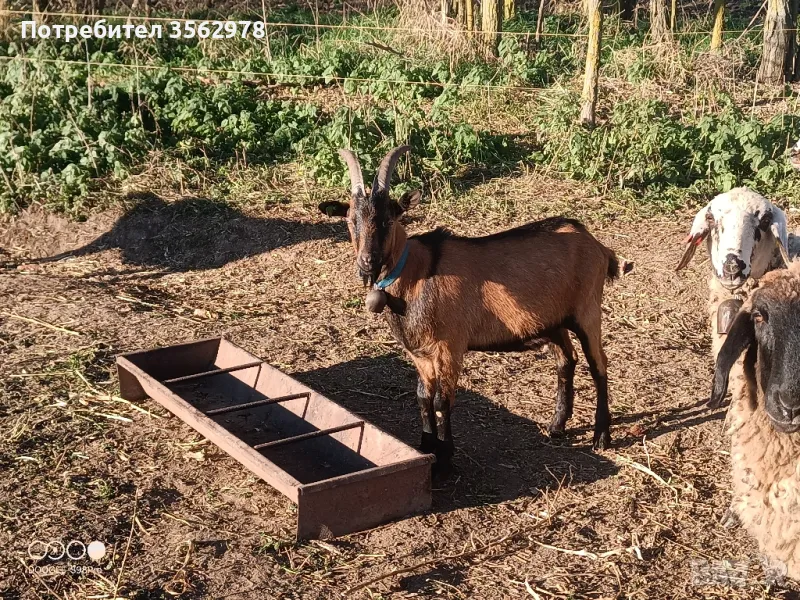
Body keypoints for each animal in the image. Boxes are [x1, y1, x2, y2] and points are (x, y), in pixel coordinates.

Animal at [318, 145, 620, 468]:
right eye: (351, 221)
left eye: (389, 219)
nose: (368, 261)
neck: (418, 274)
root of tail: (597, 244)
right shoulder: (420, 354)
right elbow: (423, 397)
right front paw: (427, 448)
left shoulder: (450, 347)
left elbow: (442, 400)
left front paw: (445, 458)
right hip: (554, 322)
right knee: (567, 360)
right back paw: (556, 426)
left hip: (587, 311)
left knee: (598, 364)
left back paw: (601, 436)